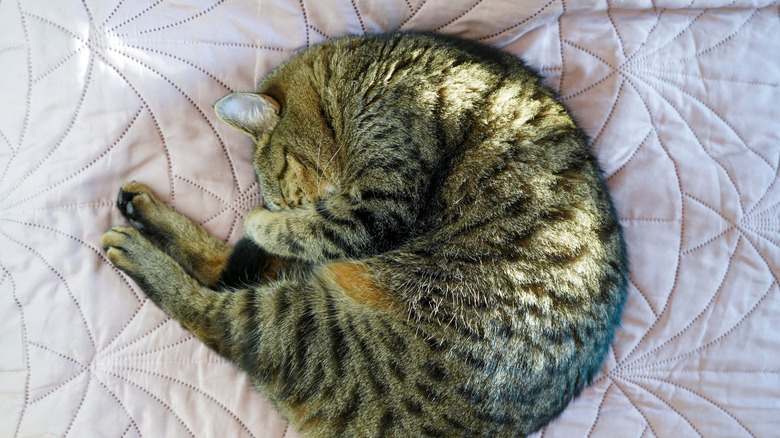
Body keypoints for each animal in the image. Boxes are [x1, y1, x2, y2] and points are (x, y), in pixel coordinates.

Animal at [102, 31, 628, 438]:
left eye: (287, 192)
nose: (283, 209)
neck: (361, 80)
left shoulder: (378, 204)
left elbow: (304, 230)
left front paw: (261, 222)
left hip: (307, 327)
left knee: (215, 313)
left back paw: (137, 249)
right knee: (225, 289)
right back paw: (142, 214)